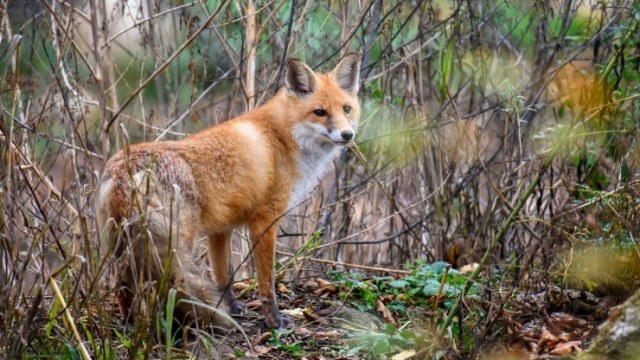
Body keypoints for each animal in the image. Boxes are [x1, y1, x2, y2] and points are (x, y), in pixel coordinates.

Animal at [94, 52, 360, 330]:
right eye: (319, 112)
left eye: (346, 109)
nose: (347, 134)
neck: (283, 137)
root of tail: (124, 170)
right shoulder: (265, 221)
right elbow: (267, 283)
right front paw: (274, 321)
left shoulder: (221, 229)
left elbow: (224, 278)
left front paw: (232, 309)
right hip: (178, 241)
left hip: (120, 244)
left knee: (122, 287)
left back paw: (130, 323)